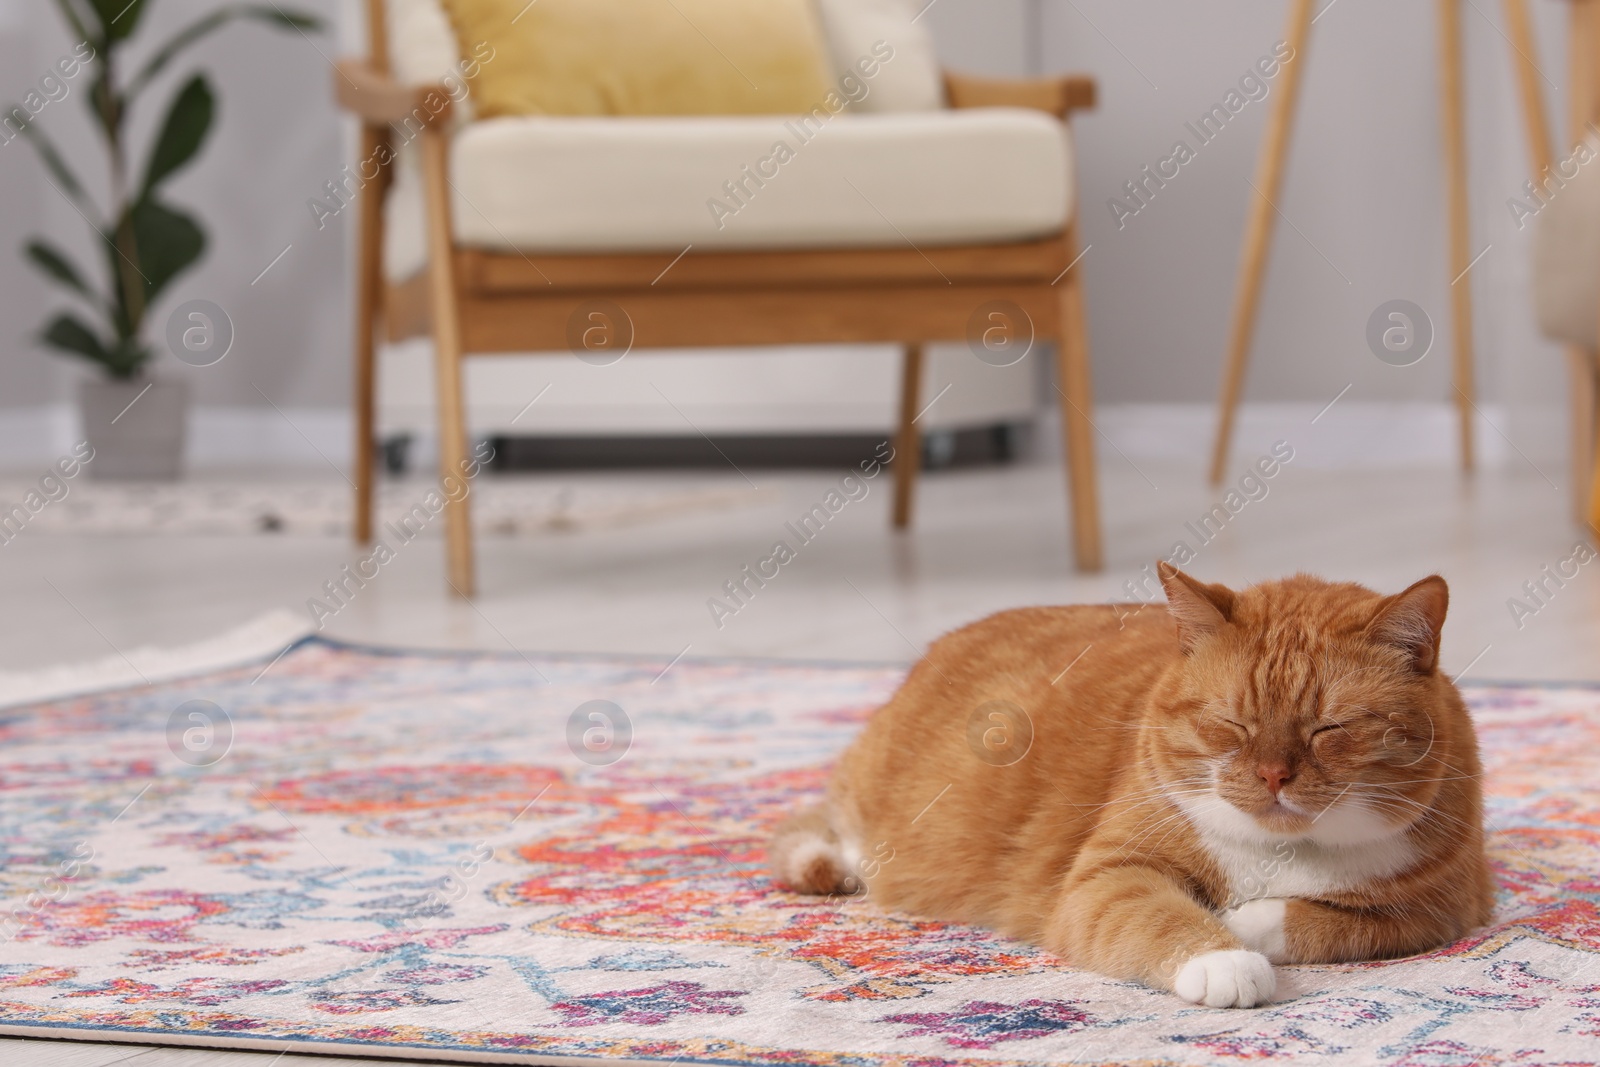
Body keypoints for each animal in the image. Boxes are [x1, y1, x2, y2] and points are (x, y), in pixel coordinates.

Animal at [768, 566, 1491, 1011]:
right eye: (1232, 723)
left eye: (1328, 728)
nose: (1272, 774)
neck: (1278, 851)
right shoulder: (1105, 877)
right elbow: (1161, 913)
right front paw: (1222, 955)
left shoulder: (1441, 911)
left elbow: (1320, 921)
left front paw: (1239, 923)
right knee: (832, 827)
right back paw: (832, 863)